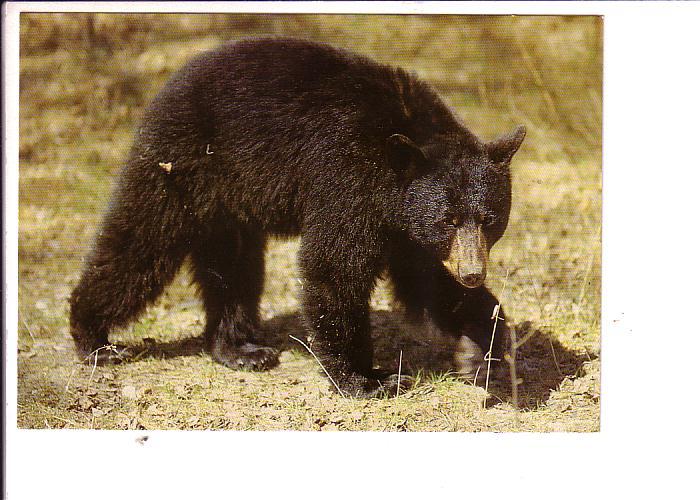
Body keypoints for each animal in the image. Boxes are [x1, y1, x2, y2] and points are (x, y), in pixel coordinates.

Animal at [69, 38, 524, 398]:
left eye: (488, 219)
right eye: (448, 219)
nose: (473, 273)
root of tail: (173, 80)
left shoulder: (405, 228)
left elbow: (427, 283)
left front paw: (482, 348)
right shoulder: (348, 177)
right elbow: (334, 268)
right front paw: (368, 379)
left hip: (229, 198)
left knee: (233, 267)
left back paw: (239, 349)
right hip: (183, 163)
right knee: (143, 243)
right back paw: (94, 338)